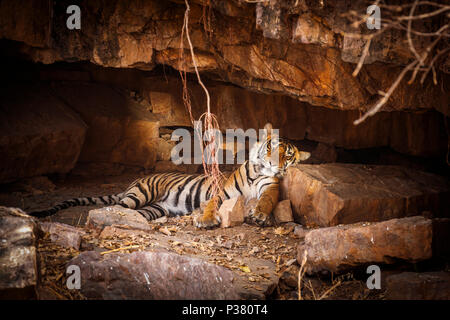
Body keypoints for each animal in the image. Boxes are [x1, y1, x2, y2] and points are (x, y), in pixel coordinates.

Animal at [27, 124, 310, 229]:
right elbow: (211, 205)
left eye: (288, 156)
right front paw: (206, 220)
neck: (257, 174)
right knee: (114, 208)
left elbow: (267, 200)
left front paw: (260, 215)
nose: (273, 164)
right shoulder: (222, 192)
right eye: (272, 147)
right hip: (140, 194)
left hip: (153, 208)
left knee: (133, 213)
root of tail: (132, 182)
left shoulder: (270, 187)